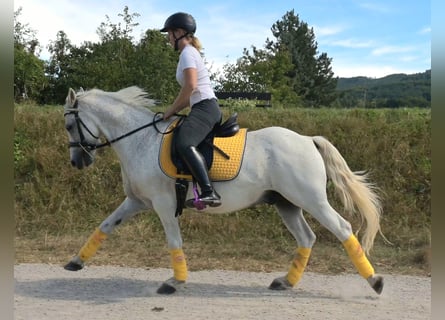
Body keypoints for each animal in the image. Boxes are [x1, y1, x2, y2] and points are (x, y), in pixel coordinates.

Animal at [63, 85, 386, 296]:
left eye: (68, 125)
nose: (77, 161)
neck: (140, 141)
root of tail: (308, 139)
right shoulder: (136, 201)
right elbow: (105, 225)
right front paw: (75, 261)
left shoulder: (163, 204)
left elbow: (174, 241)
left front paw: (174, 282)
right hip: (286, 203)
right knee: (306, 237)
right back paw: (286, 282)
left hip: (311, 199)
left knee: (342, 229)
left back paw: (375, 282)